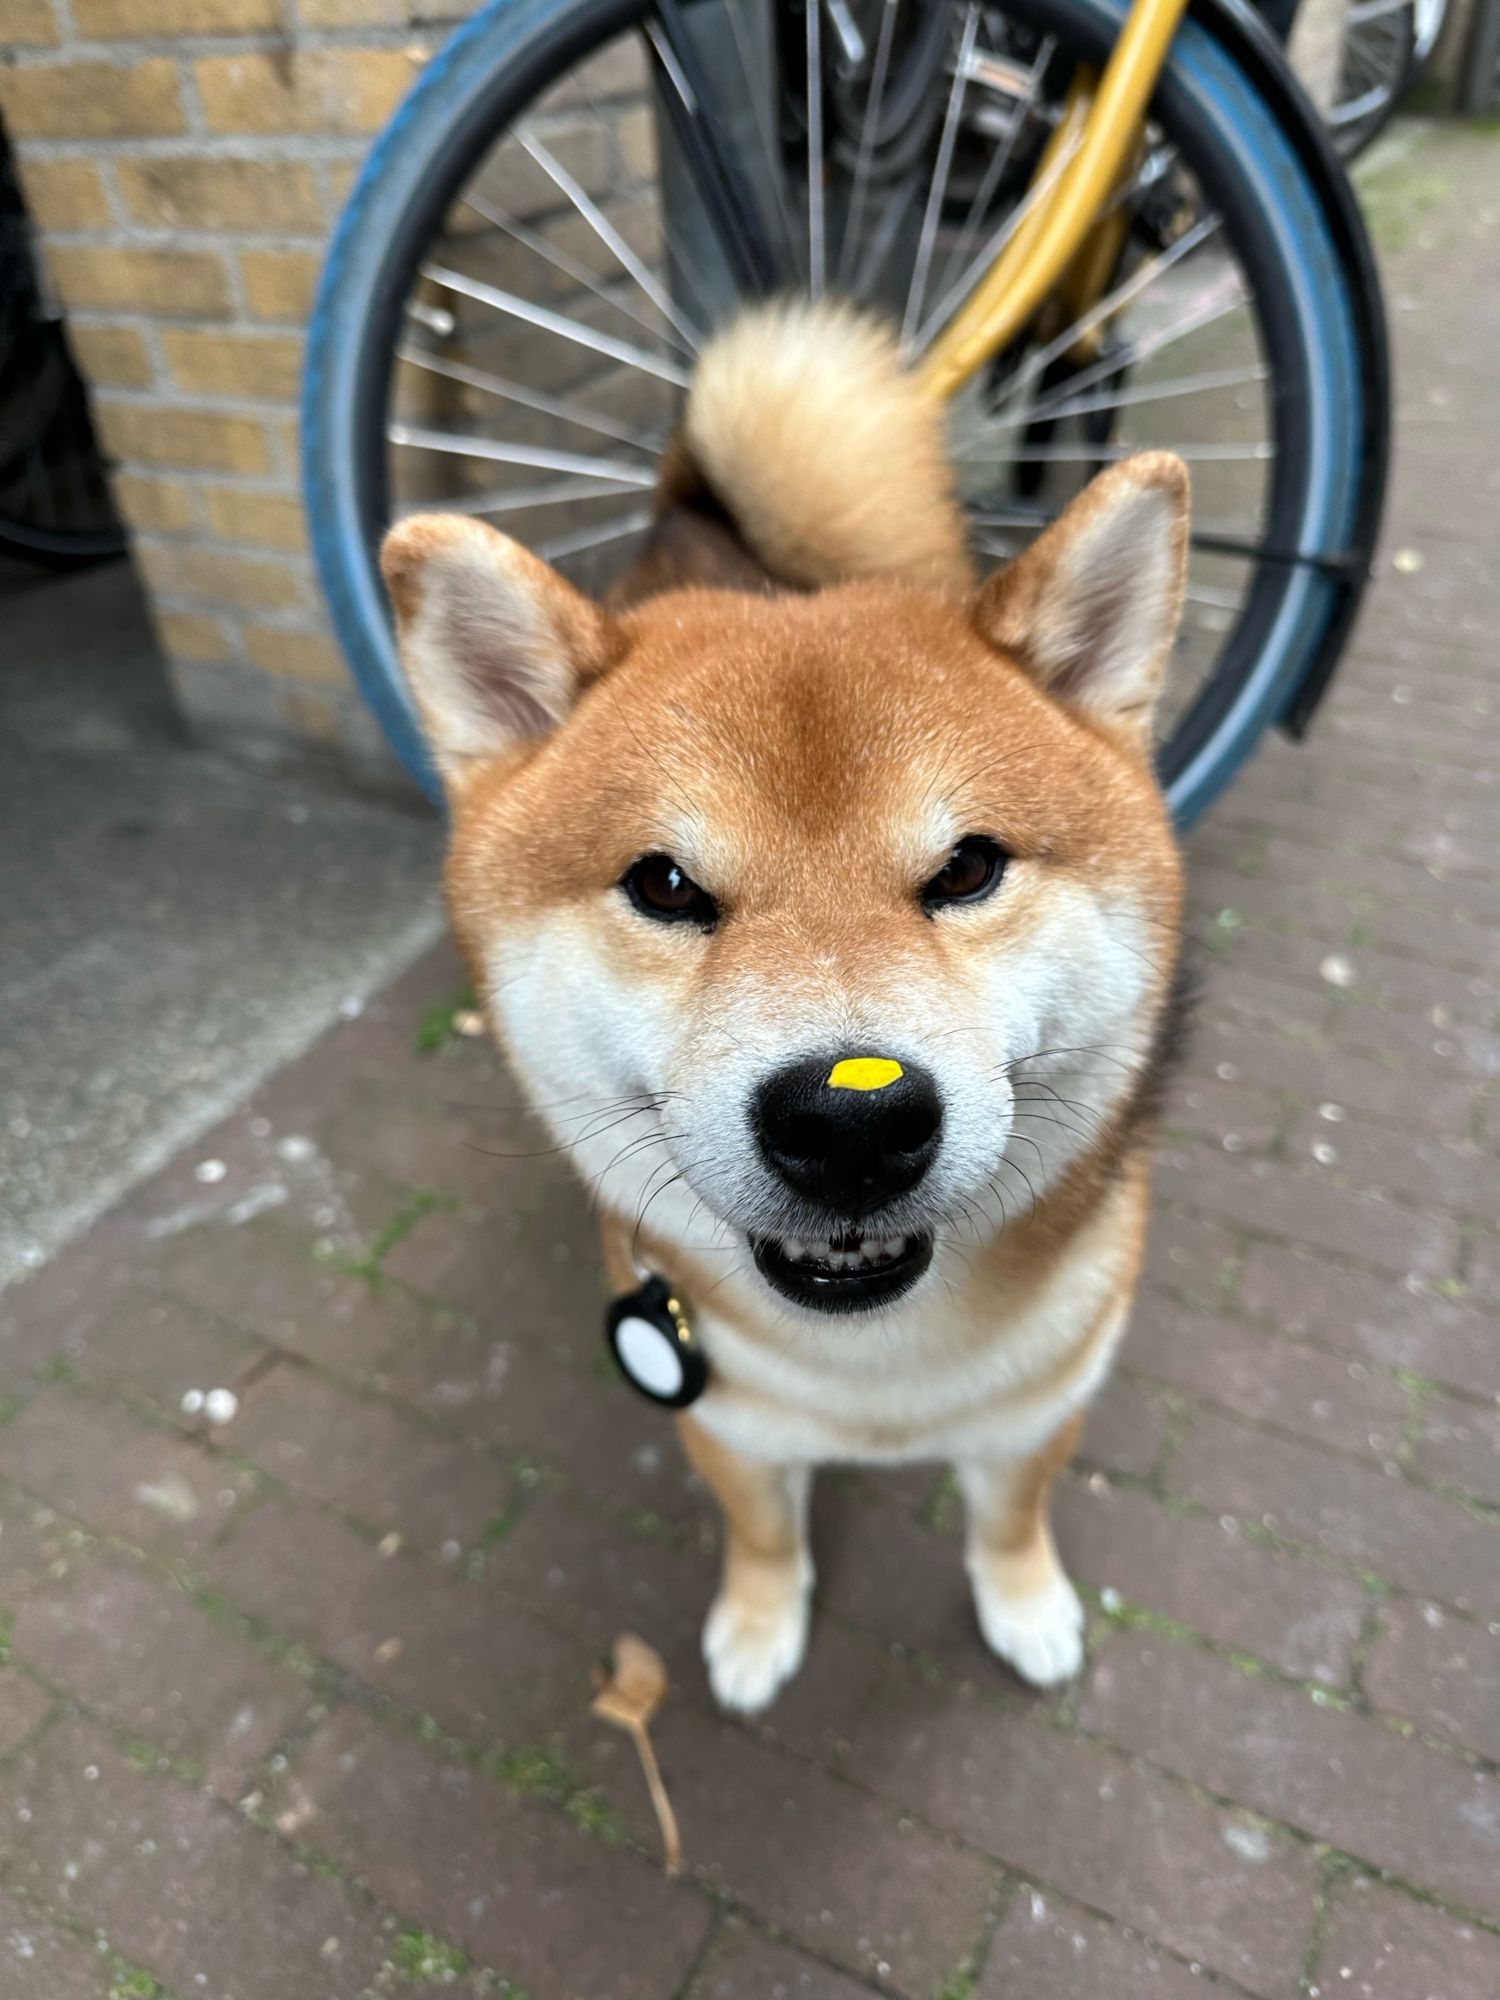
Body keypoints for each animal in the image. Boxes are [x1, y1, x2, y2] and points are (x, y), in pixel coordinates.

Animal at [382, 304, 1192, 1712]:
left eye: (967, 867)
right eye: (664, 884)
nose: (851, 1121)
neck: (874, 1378)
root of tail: (693, 497)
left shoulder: (1045, 1402)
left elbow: (1011, 1515)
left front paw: (1025, 1603)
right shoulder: (722, 1413)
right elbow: (763, 1529)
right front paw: (760, 1626)